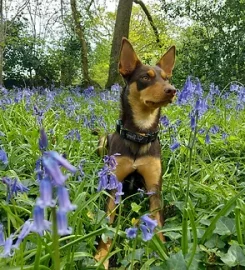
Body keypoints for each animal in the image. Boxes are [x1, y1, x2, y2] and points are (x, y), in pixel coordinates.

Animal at [94, 37, 175, 268]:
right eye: (145, 77)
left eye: (167, 78)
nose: (172, 90)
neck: (139, 134)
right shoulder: (114, 187)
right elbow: (107, 226)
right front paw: (101, 257)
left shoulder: (154, 188)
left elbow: (157, 222)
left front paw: (162, 253)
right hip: (102, 142)